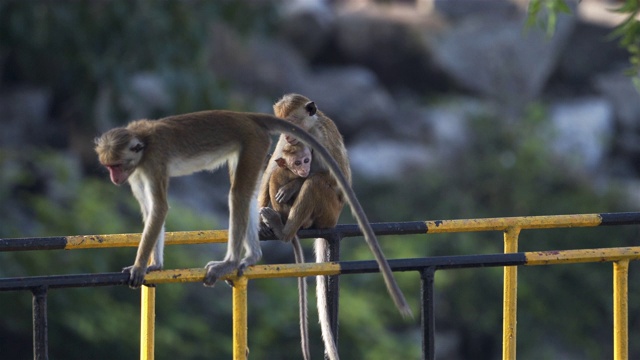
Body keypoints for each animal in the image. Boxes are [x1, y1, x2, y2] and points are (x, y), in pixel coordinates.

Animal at [258, 94, 412, 358]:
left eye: (292, 124)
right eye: (283, 127)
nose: (288, 136)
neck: (309, 129)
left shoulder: (323, 136)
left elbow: (335, 177)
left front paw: (294, 185)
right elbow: (272, 169)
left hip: (329, 212)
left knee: (315, 183)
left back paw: (284, 229)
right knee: (277, 172)